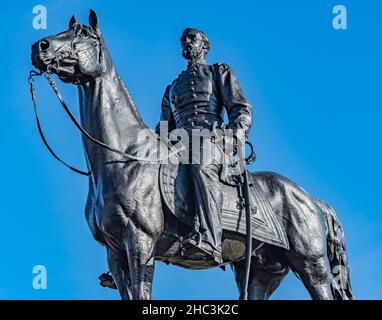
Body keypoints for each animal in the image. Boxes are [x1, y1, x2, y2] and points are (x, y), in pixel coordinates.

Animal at [30, 10, 356, 300]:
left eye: (83, 34)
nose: (39, 47)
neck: (122, 158)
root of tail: (313, 200)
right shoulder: (114, 251)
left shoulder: (140, 241)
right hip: (261, 271)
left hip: (311, 266)